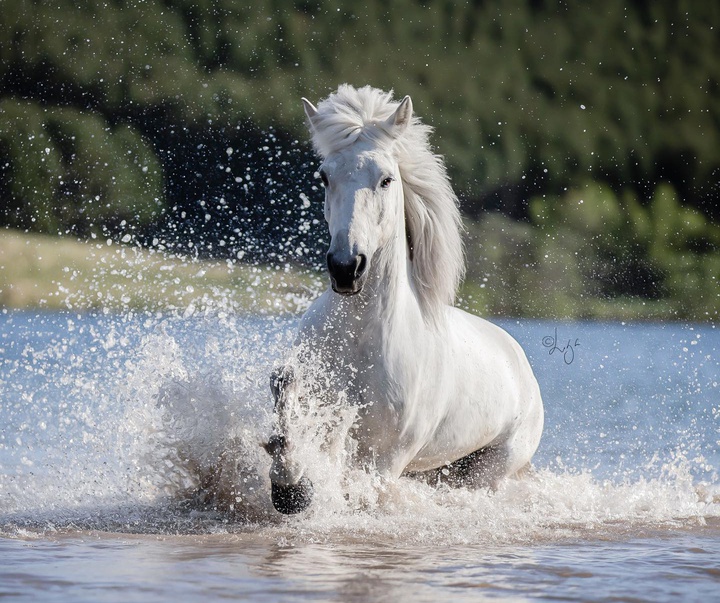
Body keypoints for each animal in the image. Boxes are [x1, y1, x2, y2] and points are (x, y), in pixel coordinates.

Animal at [262, 85, 540, 516]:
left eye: (386, 179)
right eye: (324, 176)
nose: (346, 267)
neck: (360, 337)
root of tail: (518, 358)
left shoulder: (385, 459)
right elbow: (290, 412)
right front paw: (287, 473)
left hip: (487, 468)